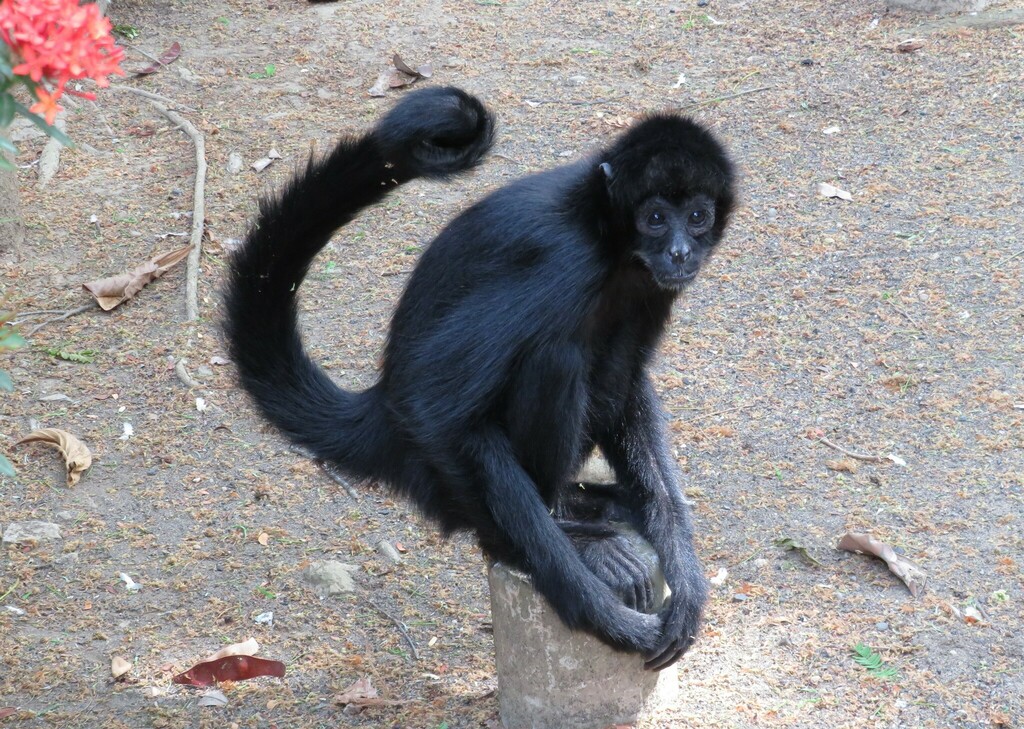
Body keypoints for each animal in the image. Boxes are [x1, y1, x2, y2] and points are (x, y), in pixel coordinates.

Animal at [224, 88, 737, 667]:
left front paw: (686, 579)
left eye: (696, 216)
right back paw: (568, 536)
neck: (605, 236)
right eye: (654, 218)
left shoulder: (651, 286)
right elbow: (435, 406)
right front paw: (592, 610)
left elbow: (631, 386)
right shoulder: (561, 263)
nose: (680, 250)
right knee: (554, 357)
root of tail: (378, 412)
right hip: (448, 475)